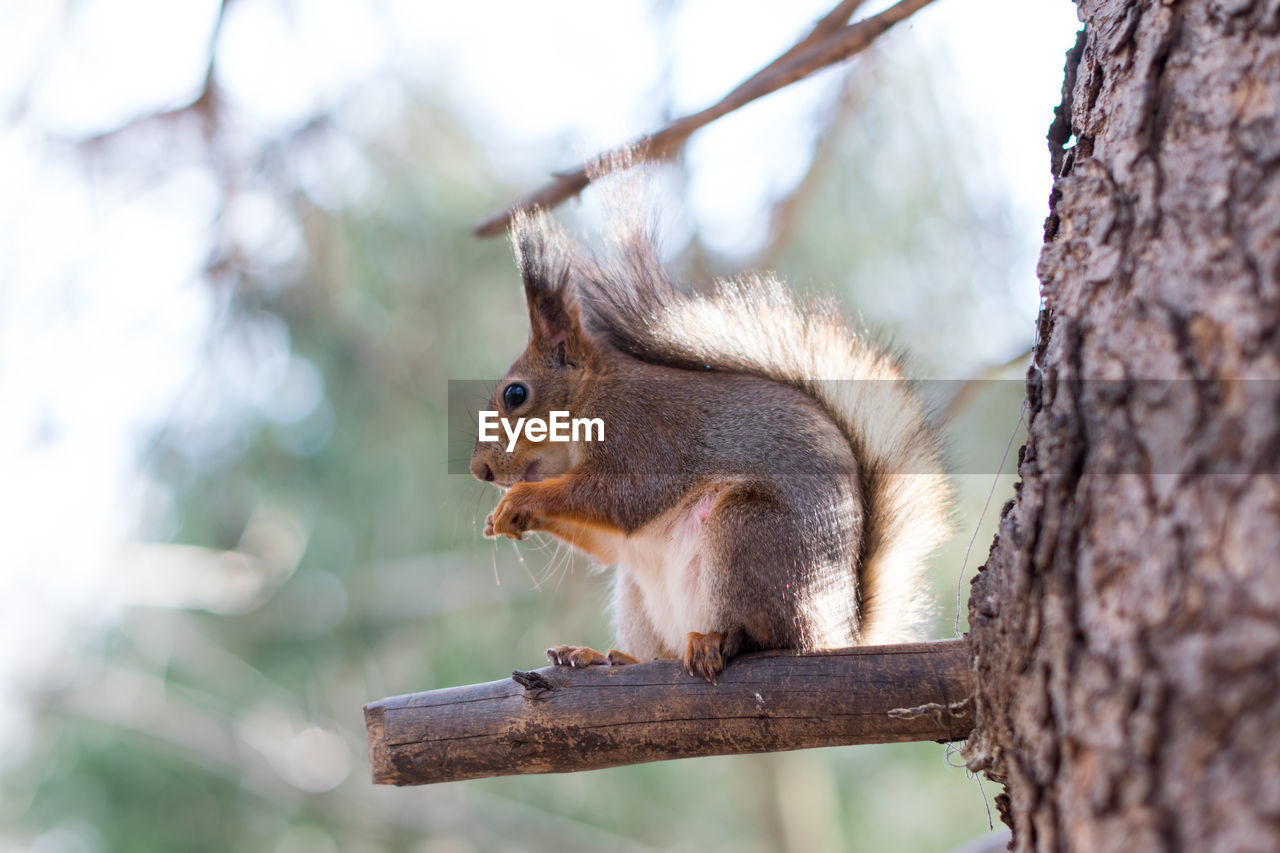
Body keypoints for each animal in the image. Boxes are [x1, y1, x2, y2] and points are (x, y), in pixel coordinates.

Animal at [471, 202, 952, 681]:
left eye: (516, 395)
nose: (481, 471)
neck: (590, 396)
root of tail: (834, 630)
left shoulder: (643, 432)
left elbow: (624, 498)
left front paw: (519, 501)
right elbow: (607, 544)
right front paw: (500, 519)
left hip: (748, 535)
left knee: (769, 636)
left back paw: (719, 640)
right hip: (640, 592)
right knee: (655, 649)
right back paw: (604, 656)